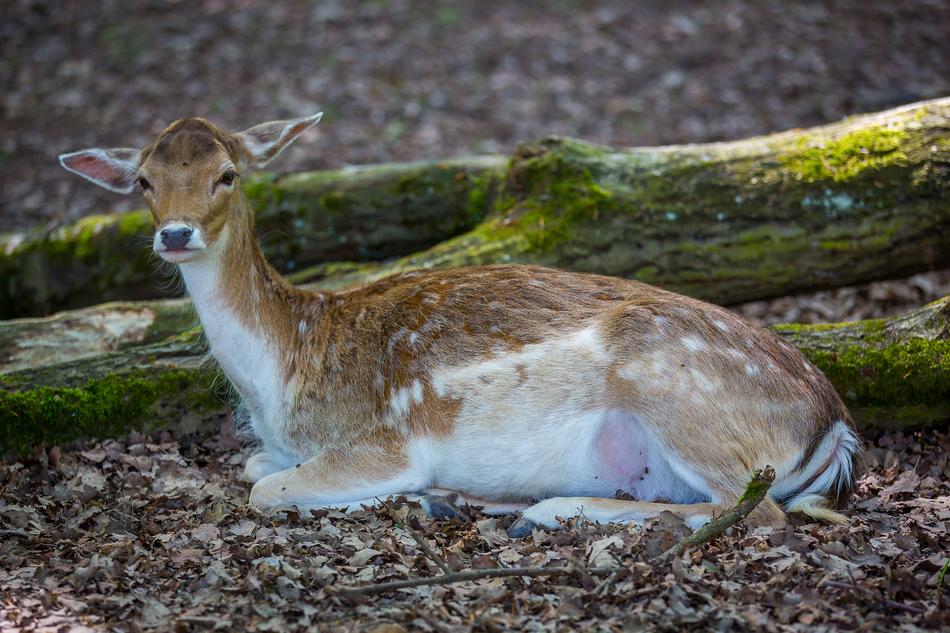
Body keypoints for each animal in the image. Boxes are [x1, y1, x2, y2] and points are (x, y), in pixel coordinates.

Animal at [59, 114, 859, 537]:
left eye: (227, 174)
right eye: (143, 180)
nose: (176, 234)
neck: (284, 375)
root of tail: (837, 425)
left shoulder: (385, 441)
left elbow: (265, 488)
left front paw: (415, 493)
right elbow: (253, 467)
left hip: (676, 391)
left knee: (755, 513)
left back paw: (531, 505)